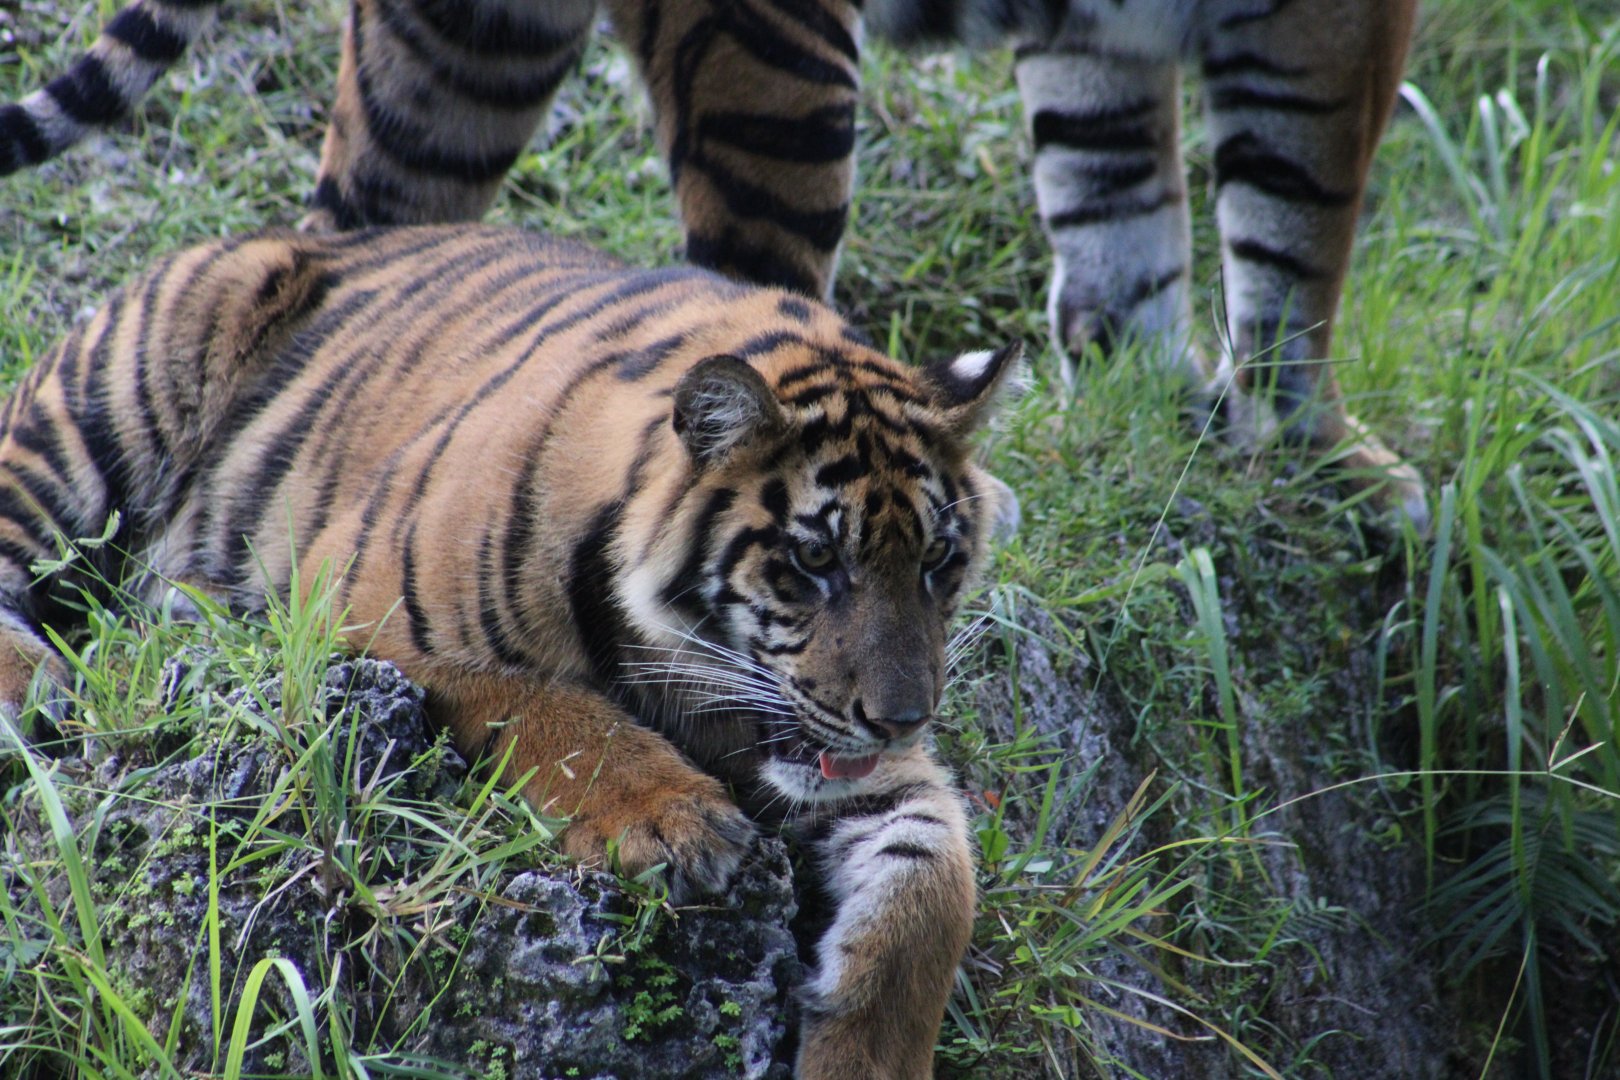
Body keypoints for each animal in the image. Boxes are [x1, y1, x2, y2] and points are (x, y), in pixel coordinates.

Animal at [0, 223, 1022, 1079]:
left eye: (937, 561)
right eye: (815, 560)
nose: (903, 717)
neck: (674, 649)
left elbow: (934, 883)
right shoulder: (362, 610)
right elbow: (557, 714)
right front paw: (677, 820)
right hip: (102, 413)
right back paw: (38, 683)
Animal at [1, 0, 1425, 526]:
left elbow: (1114, 196)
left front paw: (1159, 400)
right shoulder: (1324, 29)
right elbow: (1298, 237)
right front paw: (1330, 460)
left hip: (465, 53)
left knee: (358, 223)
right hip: (779, 75)